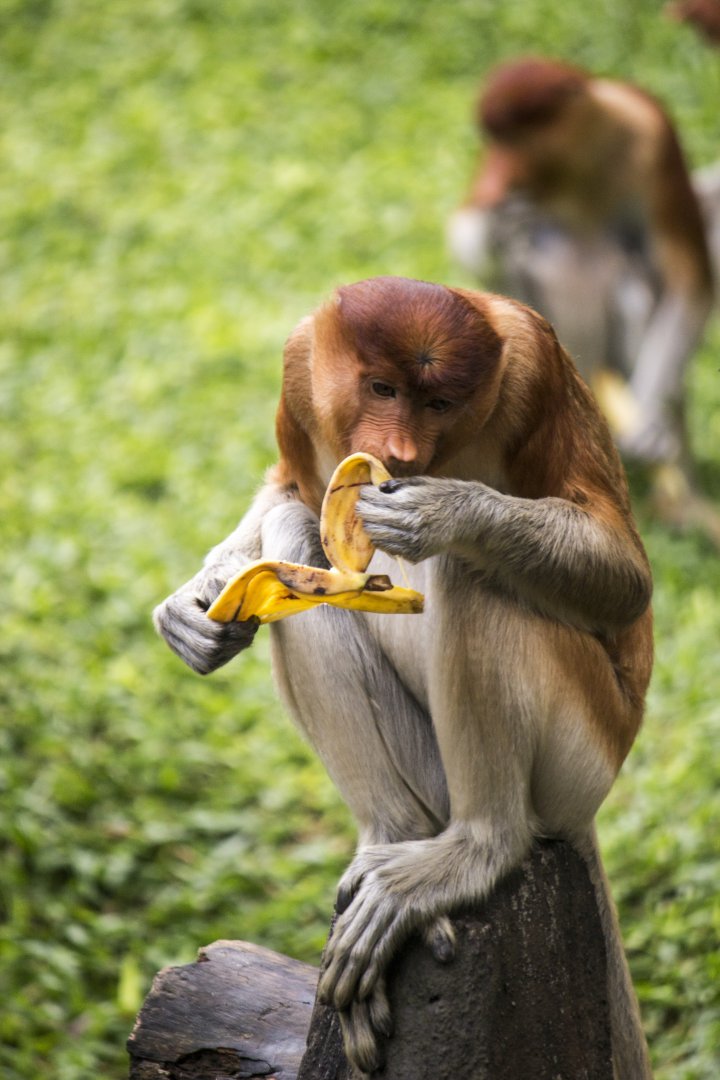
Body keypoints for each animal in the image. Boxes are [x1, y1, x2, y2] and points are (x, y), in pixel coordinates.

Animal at [153, 276, 654, 1077]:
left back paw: (475, 850)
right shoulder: (300, 370)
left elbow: (625, 578)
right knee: (296, 537)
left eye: (440, 402)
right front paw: (193, 607)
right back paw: (393, 838)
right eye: (383, 388)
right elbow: (289, 488)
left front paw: (443, 510)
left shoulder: (538, 368)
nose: (401, 453)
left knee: (474, 573)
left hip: (585, 753)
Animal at [448, 57, 718, 542]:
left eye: (516, 140)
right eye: (493, 141)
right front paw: (490, 226)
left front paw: (649, 428)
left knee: (631, 273)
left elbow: (689, 280)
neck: (581, 159)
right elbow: (469, 230)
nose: (500, 176)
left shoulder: (653, 132)